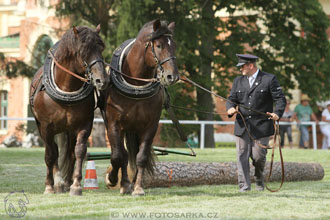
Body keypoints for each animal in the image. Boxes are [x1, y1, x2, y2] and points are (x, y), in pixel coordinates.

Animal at [29, 25, 108, 196]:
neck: (66, 88)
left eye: (101, 48)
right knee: (54, 151)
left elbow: (79, 152)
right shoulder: (46, 127)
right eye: (83, 51)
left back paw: (67, 182)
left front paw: (76, 185)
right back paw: (58, 183)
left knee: (70, 152)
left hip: (69, 130)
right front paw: (50, 186)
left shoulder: (84, 125)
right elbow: (51, 154)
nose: (102, 80)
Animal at [104, 19, 179, 196]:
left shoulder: (150, 125)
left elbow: (141, 157)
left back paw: (129, 183)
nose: (172, 76)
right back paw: (123, 183)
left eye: (174, 45)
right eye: (158, 45)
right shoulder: (114, 124)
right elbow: (117, 156)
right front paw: (112, 179)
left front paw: (138, 187)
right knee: (123, 155)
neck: (136, 85)